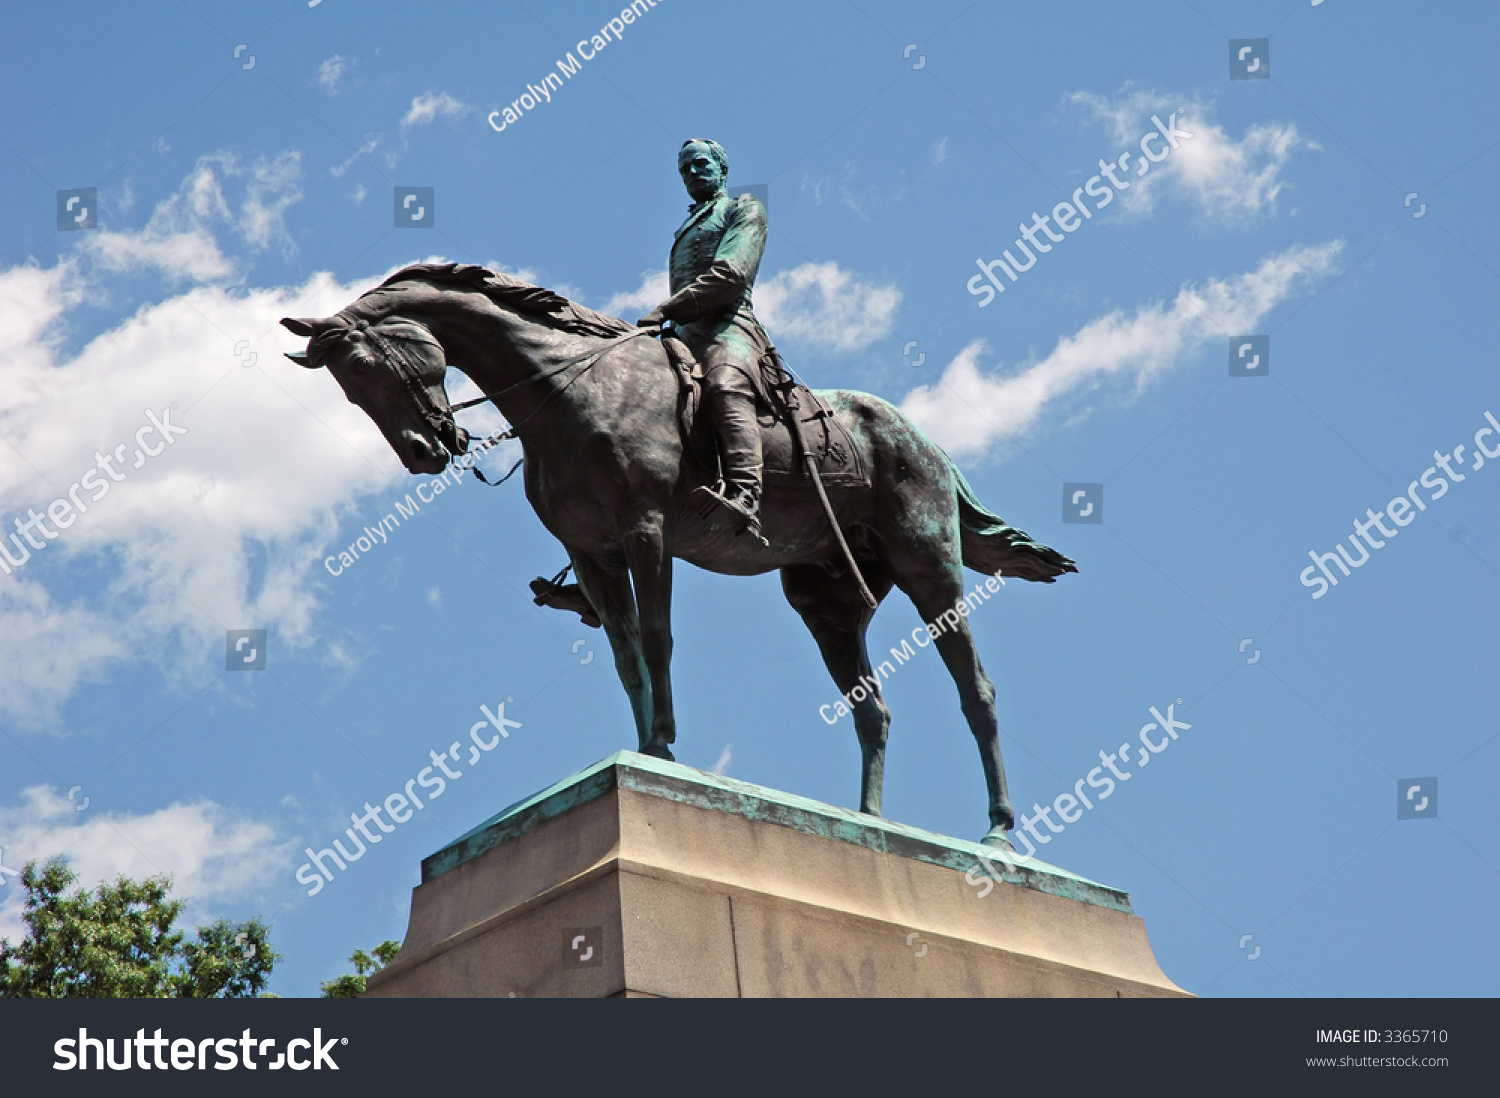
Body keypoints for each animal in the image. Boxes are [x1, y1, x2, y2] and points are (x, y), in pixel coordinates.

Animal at [283, 261, 1080, 846]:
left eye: (370, 366)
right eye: (349, 390)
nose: (424, 453)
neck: (572, 390)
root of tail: (925, 441)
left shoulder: (647, 533)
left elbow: (658, 640)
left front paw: (663, 748)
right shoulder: (593, 553)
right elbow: (626, 656)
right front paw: (640, 750)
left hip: (930, 572)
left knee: (976, 691)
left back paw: (999, 832)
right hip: (825, 603)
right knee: (872, 710)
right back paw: (869, 824)